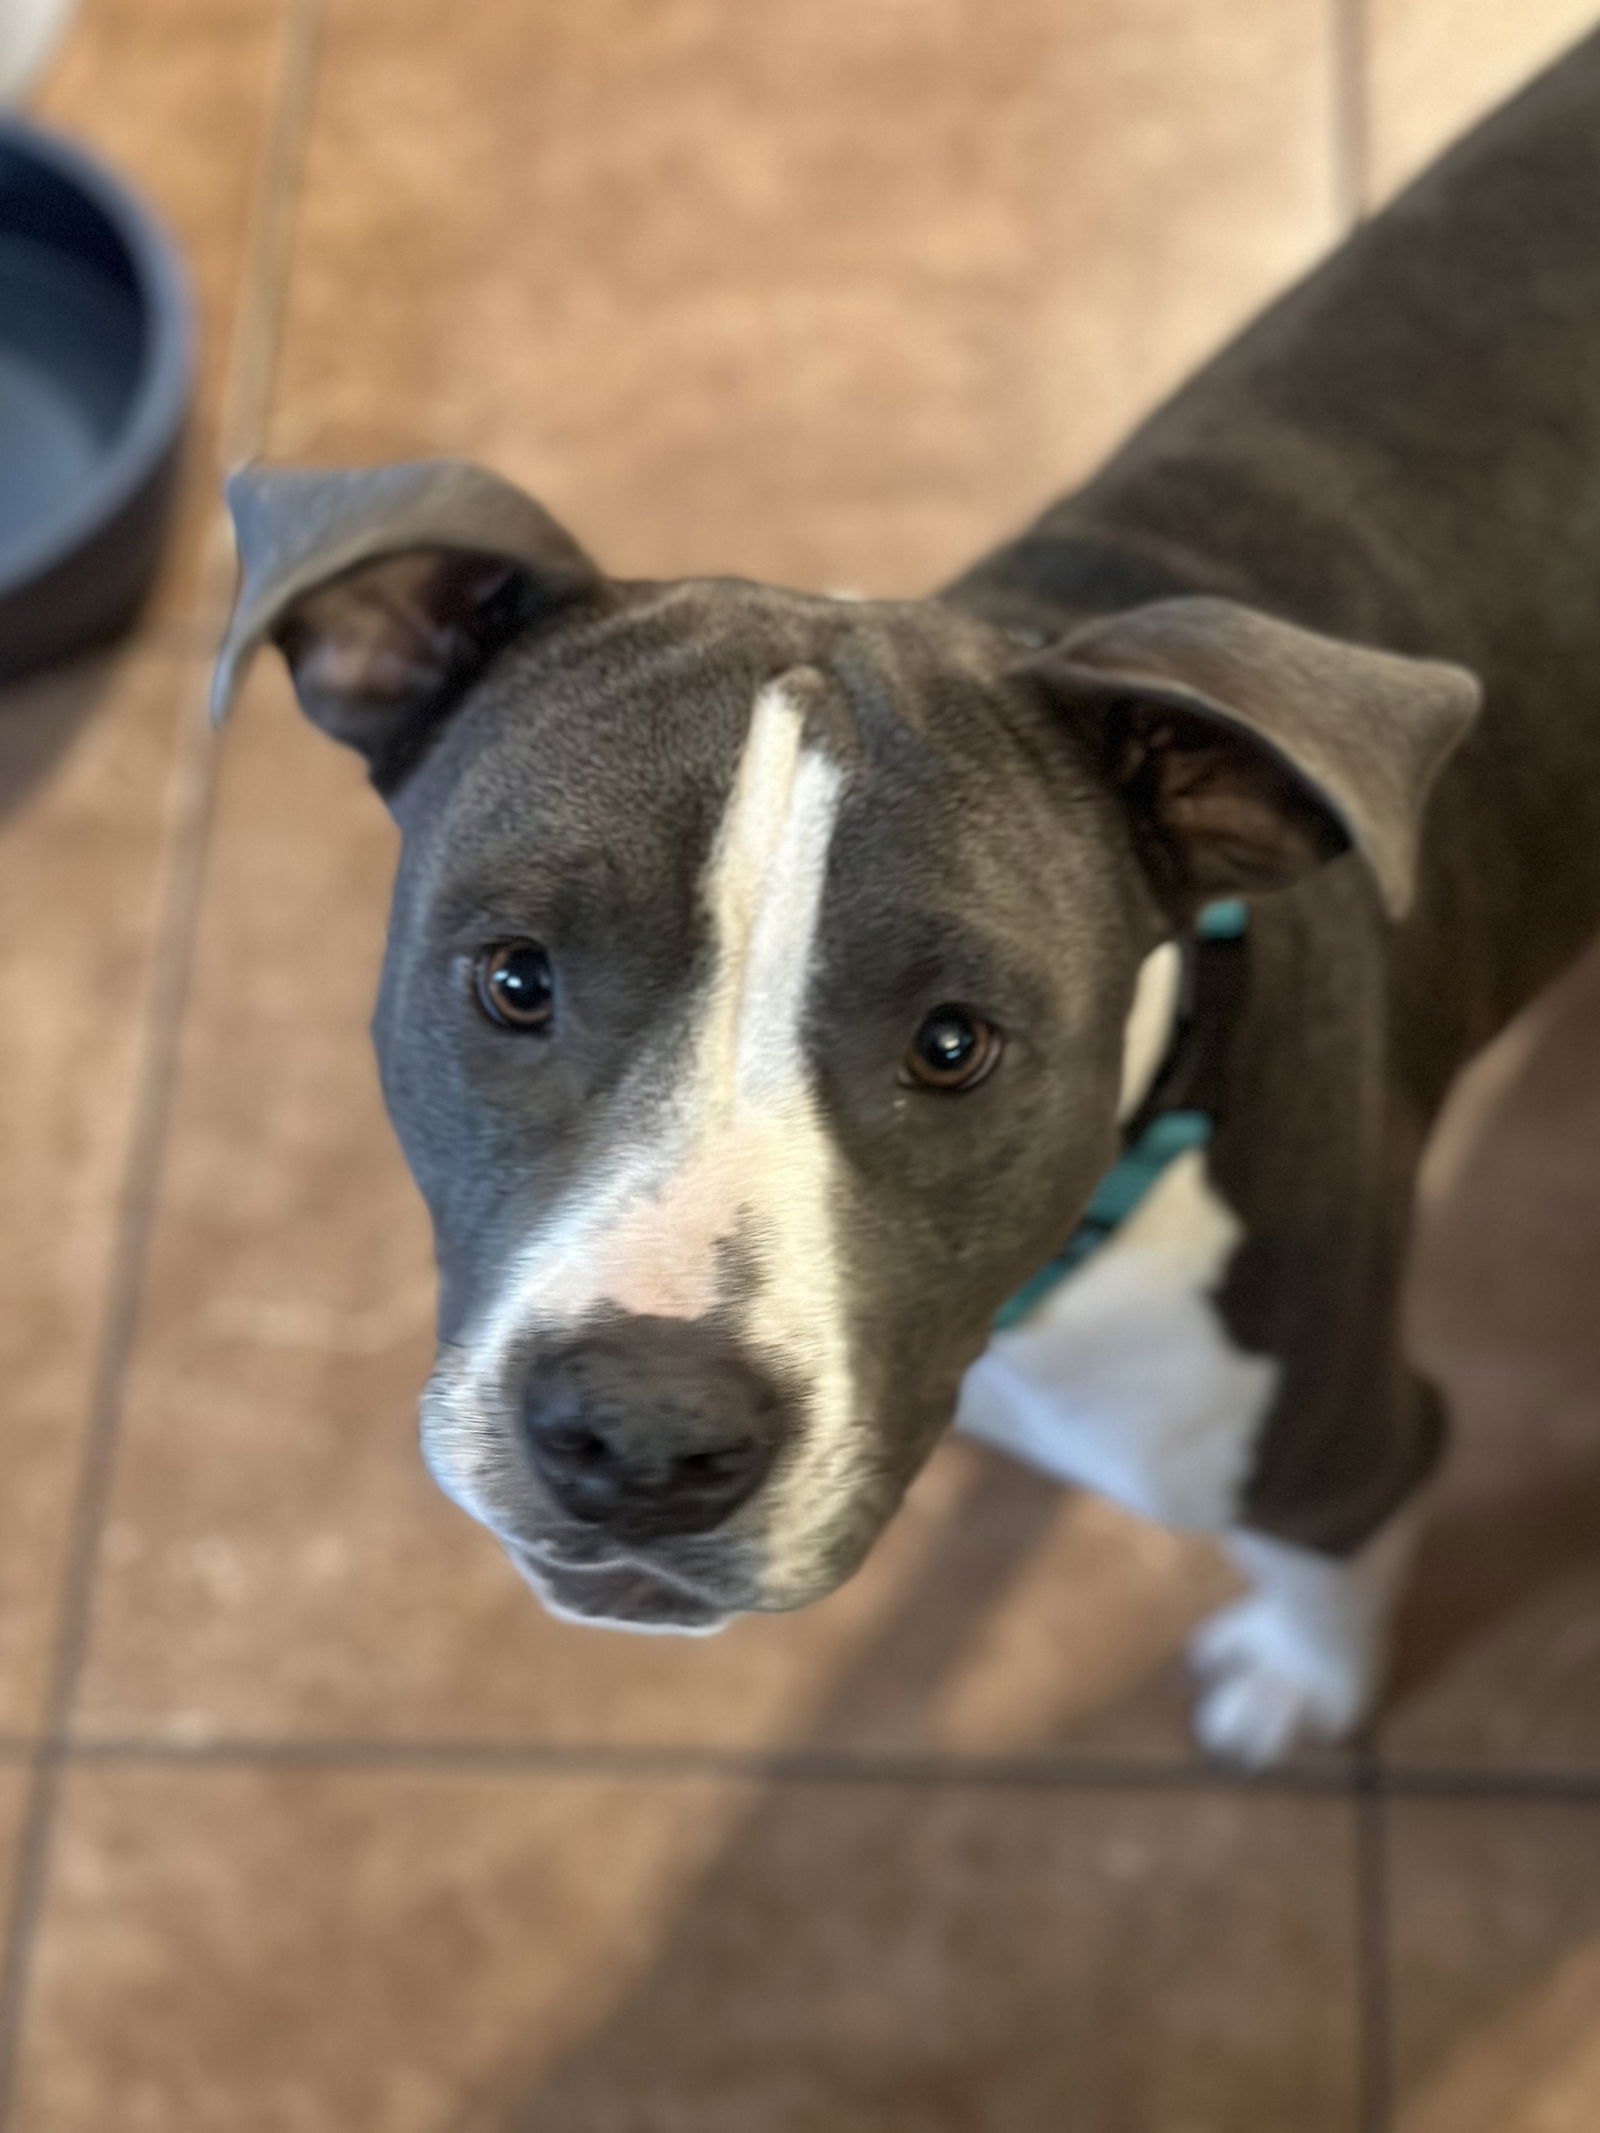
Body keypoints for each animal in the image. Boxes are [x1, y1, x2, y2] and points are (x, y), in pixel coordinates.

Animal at [206, 33, 1600, 1766]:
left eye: (955, 1044)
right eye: (515, 977)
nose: (643, 1432)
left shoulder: (1343, 1442)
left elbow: (1327, 1562)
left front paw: (1303, 1682)